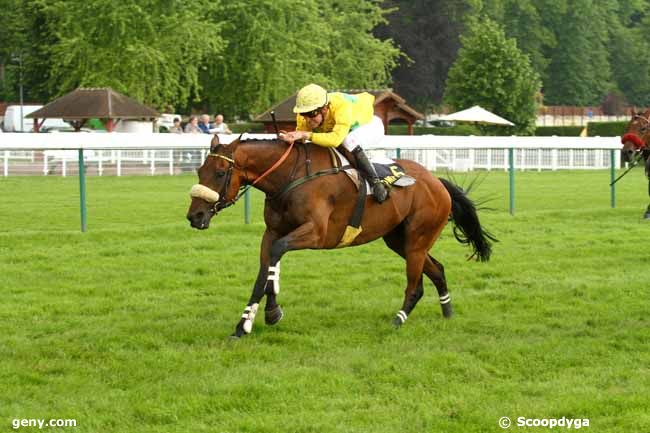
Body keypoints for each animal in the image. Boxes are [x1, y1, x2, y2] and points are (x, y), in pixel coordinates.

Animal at [185, 133, 494, 336]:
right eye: (200, 170)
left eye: (221, 172)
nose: (195, 216)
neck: (289, 178)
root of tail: (436, 181)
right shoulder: (272, 232)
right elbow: (266, 270)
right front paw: (245, 322)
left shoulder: (316, 234)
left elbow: (276, 255)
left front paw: (269, 313)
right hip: (398, 240)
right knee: (437, 269)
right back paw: (447, 312)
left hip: (417, 239)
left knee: (416, 284)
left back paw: (398, 320)